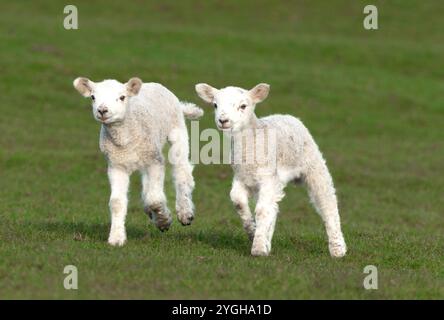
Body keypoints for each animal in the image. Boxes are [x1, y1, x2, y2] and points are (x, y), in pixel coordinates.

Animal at [73, 77, 204, 245]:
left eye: (122, 97)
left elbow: (154, 199)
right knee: (148, 186)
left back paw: (184, 212)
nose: (102, 110)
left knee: (182, 172)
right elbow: (117, 202)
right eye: (93, 97)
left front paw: (164, 220)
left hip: (176, 131)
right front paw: (116, 238)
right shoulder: (116, 165)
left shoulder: (155, 161)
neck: (124, 140)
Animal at [195, 83, 346, 258]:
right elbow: (238, 202)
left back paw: (337, 248)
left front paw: (258, 248)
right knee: (273, 208)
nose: (223, 120)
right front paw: (253, 232)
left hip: (313, 165)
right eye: (215, 105)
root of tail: (288, 116)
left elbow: (261, 210)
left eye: (243, 106)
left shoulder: (267, 178)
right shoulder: (241, 177)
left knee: (327, 201)